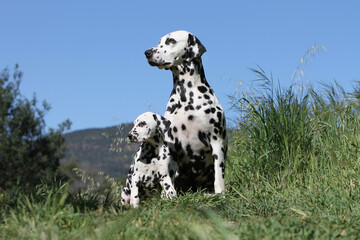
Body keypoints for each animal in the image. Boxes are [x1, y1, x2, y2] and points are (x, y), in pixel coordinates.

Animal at [144, 31, 226, 194]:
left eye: (170, 40)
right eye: (160, 41)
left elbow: (219, 175)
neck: (186, 95)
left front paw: (221, 193)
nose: (147, 53)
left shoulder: (216, 139)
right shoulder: (170, 143)